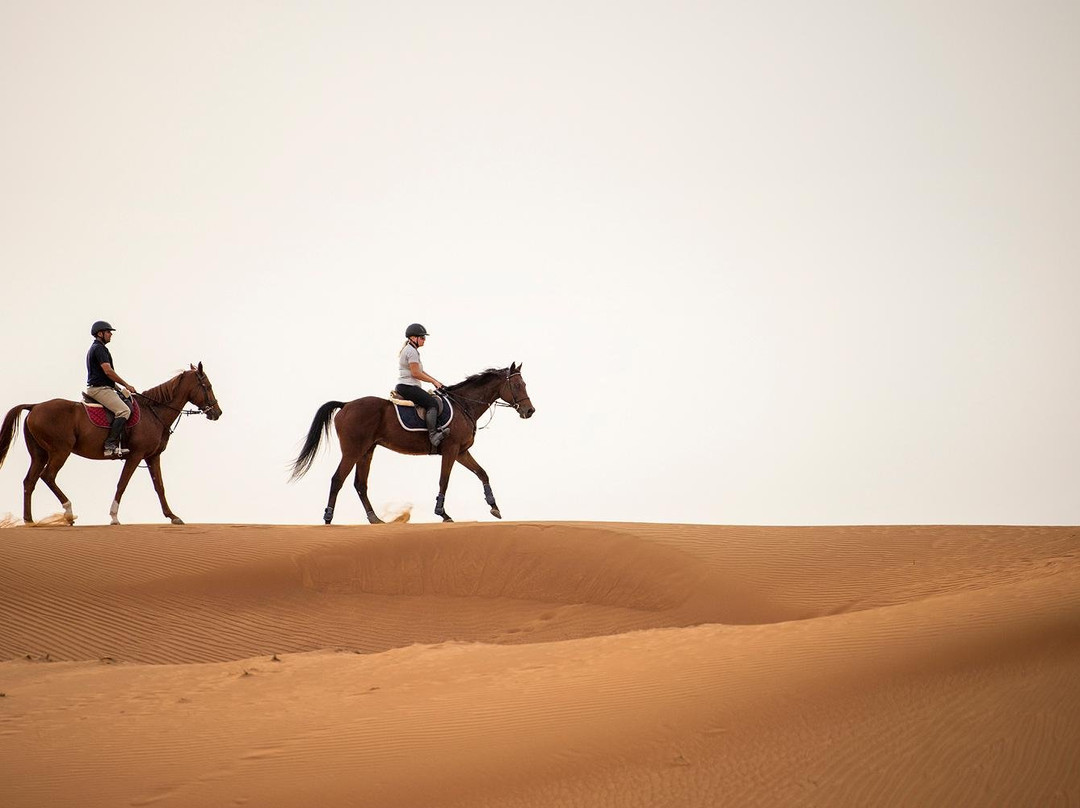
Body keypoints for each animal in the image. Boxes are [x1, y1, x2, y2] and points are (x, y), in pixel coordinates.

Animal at [0, 363, 222, 526]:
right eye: (208, 386)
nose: (217, 412)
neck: (154, 412)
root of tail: (35, 406)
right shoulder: (136, 455)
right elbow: (122, 484)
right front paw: (114, 517)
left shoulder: (152, 456)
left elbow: (159, 486)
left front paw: (172, 516)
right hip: (60, 451)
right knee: (48, 476)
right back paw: (69, 513)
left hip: (39, 454)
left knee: (29, 482)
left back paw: (29, 521)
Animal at [290, 363, 535, 524]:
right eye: (517, 385)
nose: (530, 411)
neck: (464, 405)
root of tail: (346, 404)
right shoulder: (451, 450)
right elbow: (444, 481)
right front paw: (442, 513)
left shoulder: (461, 452)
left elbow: (482, 473)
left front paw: (494, 506)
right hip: (352, 451)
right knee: (337, 480)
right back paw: (328, 517)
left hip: (367, 451)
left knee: (360, 484)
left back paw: (374, 519)